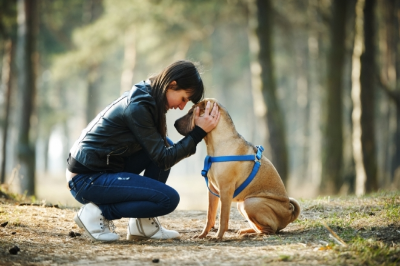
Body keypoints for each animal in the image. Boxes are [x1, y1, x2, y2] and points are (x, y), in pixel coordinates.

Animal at [174, 98, 300, 240]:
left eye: (191, 112)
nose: (174, 123)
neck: (217, 144)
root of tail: (290, 213)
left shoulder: (225, 190)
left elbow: (223, 217)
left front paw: (218, 236)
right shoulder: (212, 190)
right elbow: (210, 216)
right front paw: (202, 235)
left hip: (250, 202)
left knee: (271, 229)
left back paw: (251, 234)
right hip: (242, 204)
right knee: (261, 227)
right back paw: (245, 231)